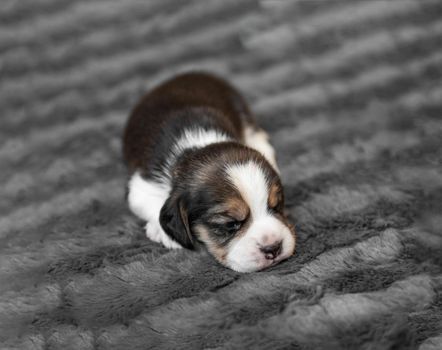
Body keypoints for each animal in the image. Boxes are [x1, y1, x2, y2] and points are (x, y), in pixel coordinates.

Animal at [122, 72, 296, 272]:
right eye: (230, 224)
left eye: (276, 207)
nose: (273, 247)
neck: (198, 145)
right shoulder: (141, 186)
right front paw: (164, 232)